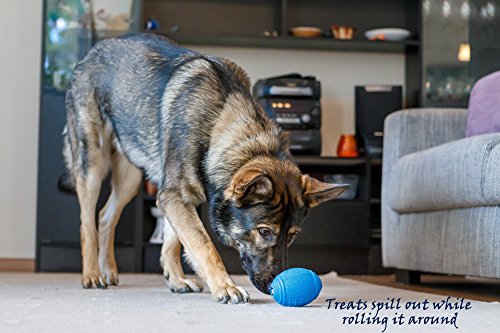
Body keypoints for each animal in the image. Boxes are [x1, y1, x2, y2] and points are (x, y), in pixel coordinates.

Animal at [63, 32, 348, 302]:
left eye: (292, 236)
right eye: (265, 231)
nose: (273, 287)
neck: (220, 122)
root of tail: (92, 52)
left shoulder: (177, 199)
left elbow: (174, 242)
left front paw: (177, 279)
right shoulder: (174, 197)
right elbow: (204, 246)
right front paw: (225, 286)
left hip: (129, 180)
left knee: (105, 217)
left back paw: (109, 270)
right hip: (93, 165)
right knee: (87, 221)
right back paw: (92, 274)